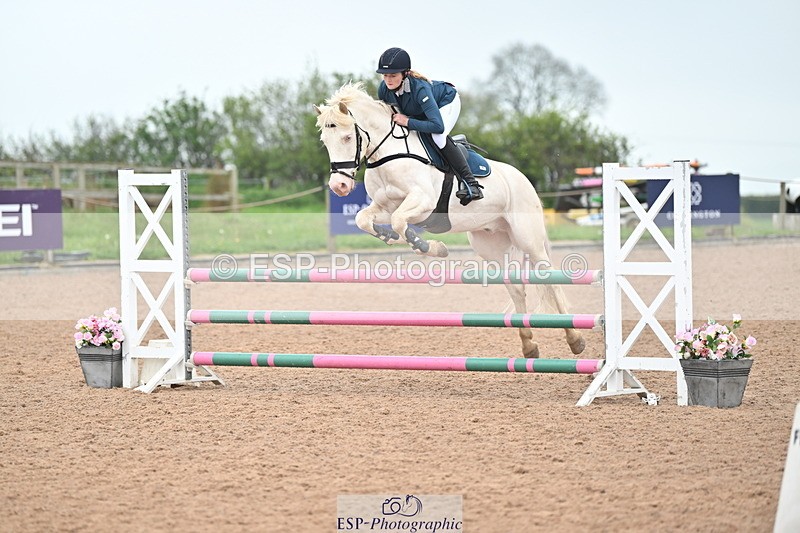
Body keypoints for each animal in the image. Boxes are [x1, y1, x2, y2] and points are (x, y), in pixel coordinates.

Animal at [314, 81, 585, 359]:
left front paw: (427, 246)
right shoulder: (384, 207)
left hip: (528, 239)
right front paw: (386, 234)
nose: (339, 186)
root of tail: (522, 179)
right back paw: (529, 346)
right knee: (517, 289)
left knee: (550, 281)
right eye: (325, 141)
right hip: (491, 245)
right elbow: (363, 219)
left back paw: (575, 339)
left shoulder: (422, 202)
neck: (389, 154)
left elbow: (401, 221)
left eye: (347, 138)